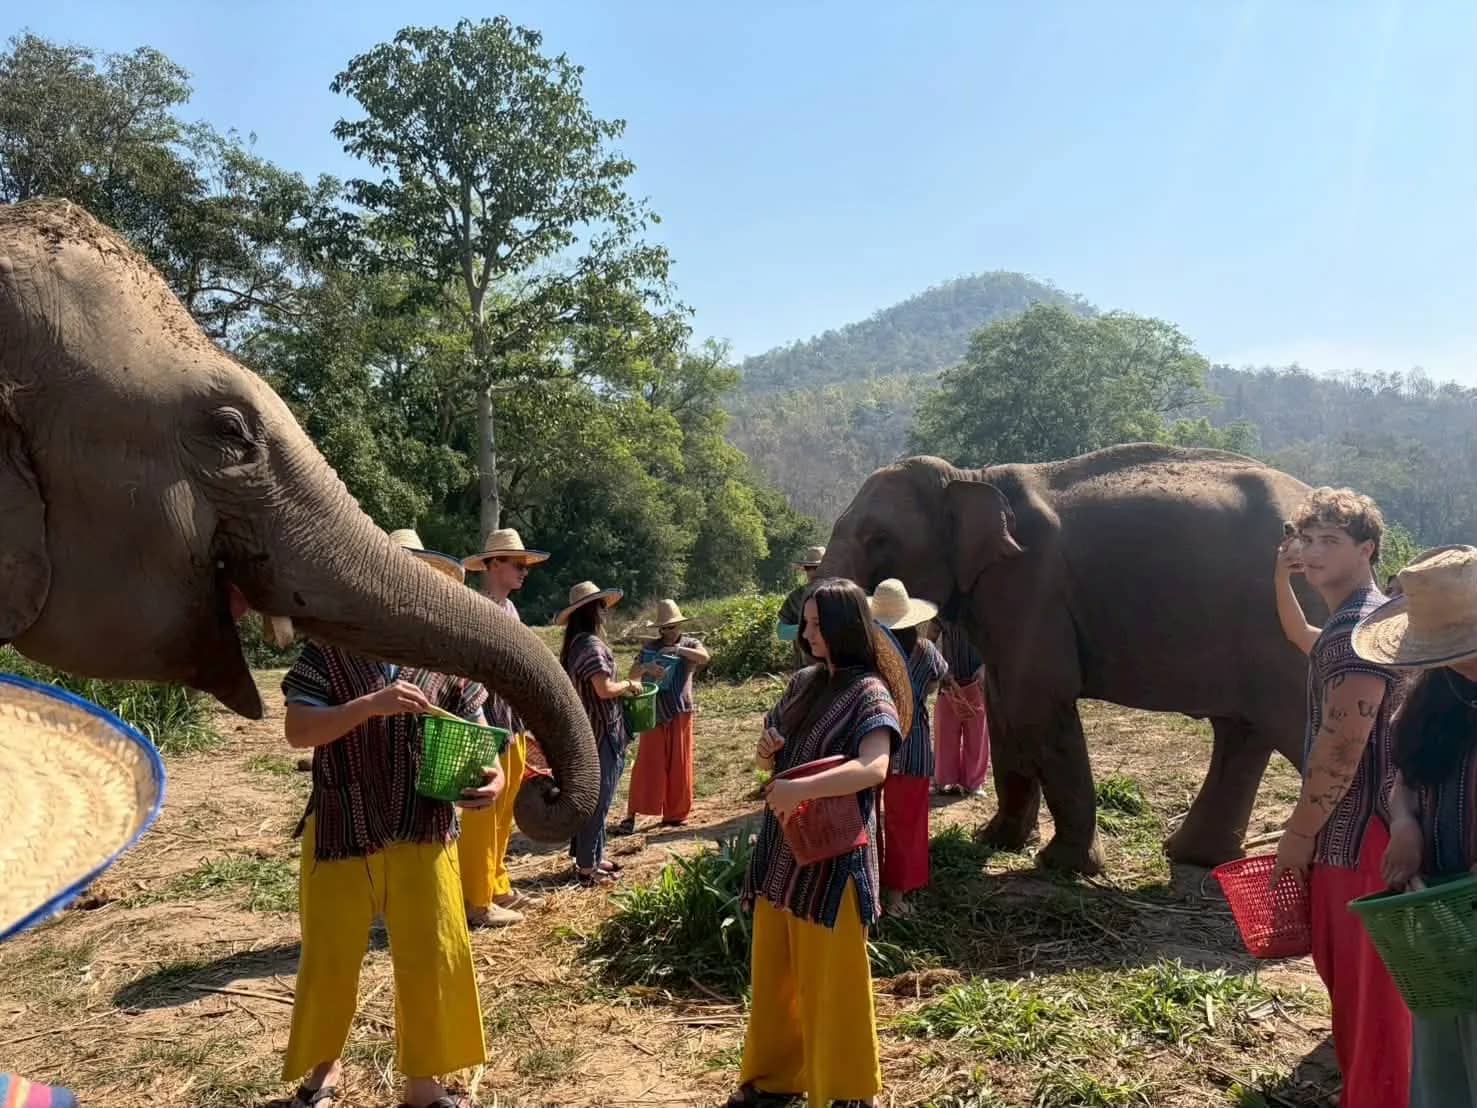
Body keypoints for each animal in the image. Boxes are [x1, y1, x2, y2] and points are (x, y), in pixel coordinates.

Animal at [820, 444, 1328, 874]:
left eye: (879, 537)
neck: (970, 476)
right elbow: (1002, 707)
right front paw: (993, 841)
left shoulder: (1033, 584)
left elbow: (1036, 702)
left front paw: (1064, 865)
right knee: (1242, 731)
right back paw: (1193, 857)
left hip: (1290, 633)